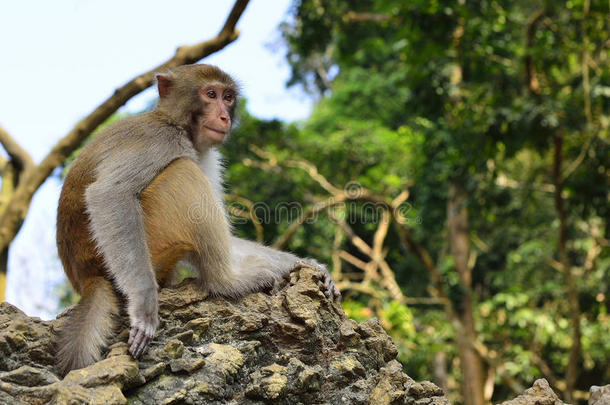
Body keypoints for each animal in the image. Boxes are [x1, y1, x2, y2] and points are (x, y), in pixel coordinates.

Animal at [55, 64, 338, 376]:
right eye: (210, 94)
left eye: (228, 97)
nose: (224, 116)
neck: (177, 124)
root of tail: (86, 276)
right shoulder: (160, 140)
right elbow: (109, 194)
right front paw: (144, 304)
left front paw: (307, 264)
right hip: (151, 247)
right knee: (182, 170)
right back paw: (225, 281)